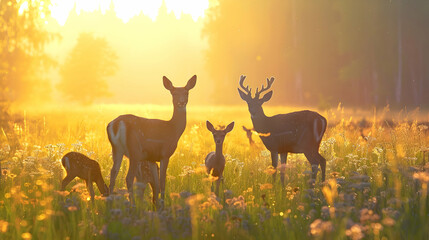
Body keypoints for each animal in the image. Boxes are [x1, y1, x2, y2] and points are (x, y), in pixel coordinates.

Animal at [106, 74, 196, 204]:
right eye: (173, 93)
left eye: (186, 92)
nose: (181, 102)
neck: (173, 129)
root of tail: (116, 124)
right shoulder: (165, 154)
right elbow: (162, 183)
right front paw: (162, 204)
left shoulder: (152, 158)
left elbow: (157, 185)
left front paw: (157, 204)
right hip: (135, 151)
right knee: (128, 177)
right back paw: (132, 204)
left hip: (116, 149)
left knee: (113, 173)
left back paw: (109, 202)